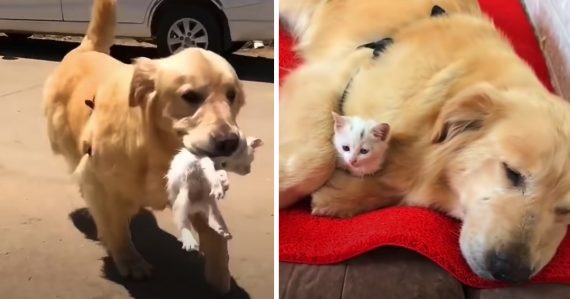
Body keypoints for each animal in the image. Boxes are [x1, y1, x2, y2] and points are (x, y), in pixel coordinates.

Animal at [42, 0, 242, 284]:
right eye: (190, 96)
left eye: (232, 95)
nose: (229, 141)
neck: (156, 148)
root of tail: (85, 50)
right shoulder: (102, 185)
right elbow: (115, 227)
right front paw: (129, 259)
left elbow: (215, 234)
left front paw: (219, 274)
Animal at [278, 0, 568, 284]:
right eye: (512, 173)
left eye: (566, 210)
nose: (512, 273)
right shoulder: (330, 75)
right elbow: (316, 162)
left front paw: (341, 195)